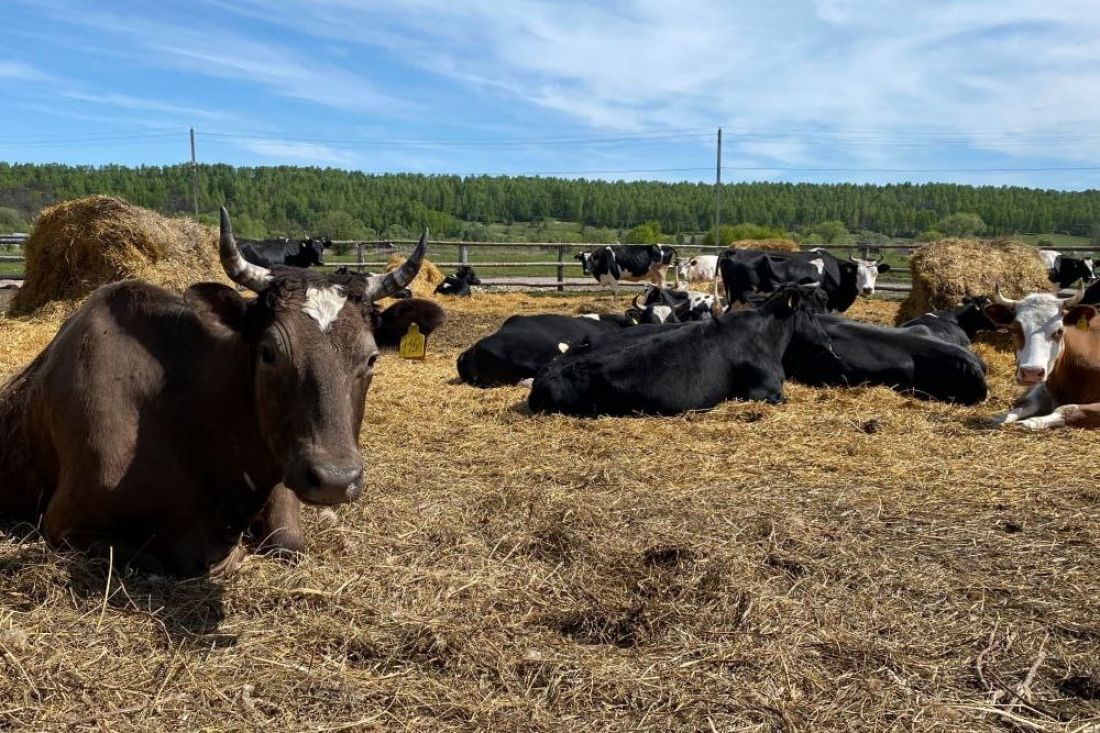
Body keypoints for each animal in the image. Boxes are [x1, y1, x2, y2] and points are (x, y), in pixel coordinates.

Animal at [1, 206, 446, 576]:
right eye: (268, 351)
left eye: (371, 357)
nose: (336, 480)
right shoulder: (65, 523)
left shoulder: (282, 471)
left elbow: (289, 542)